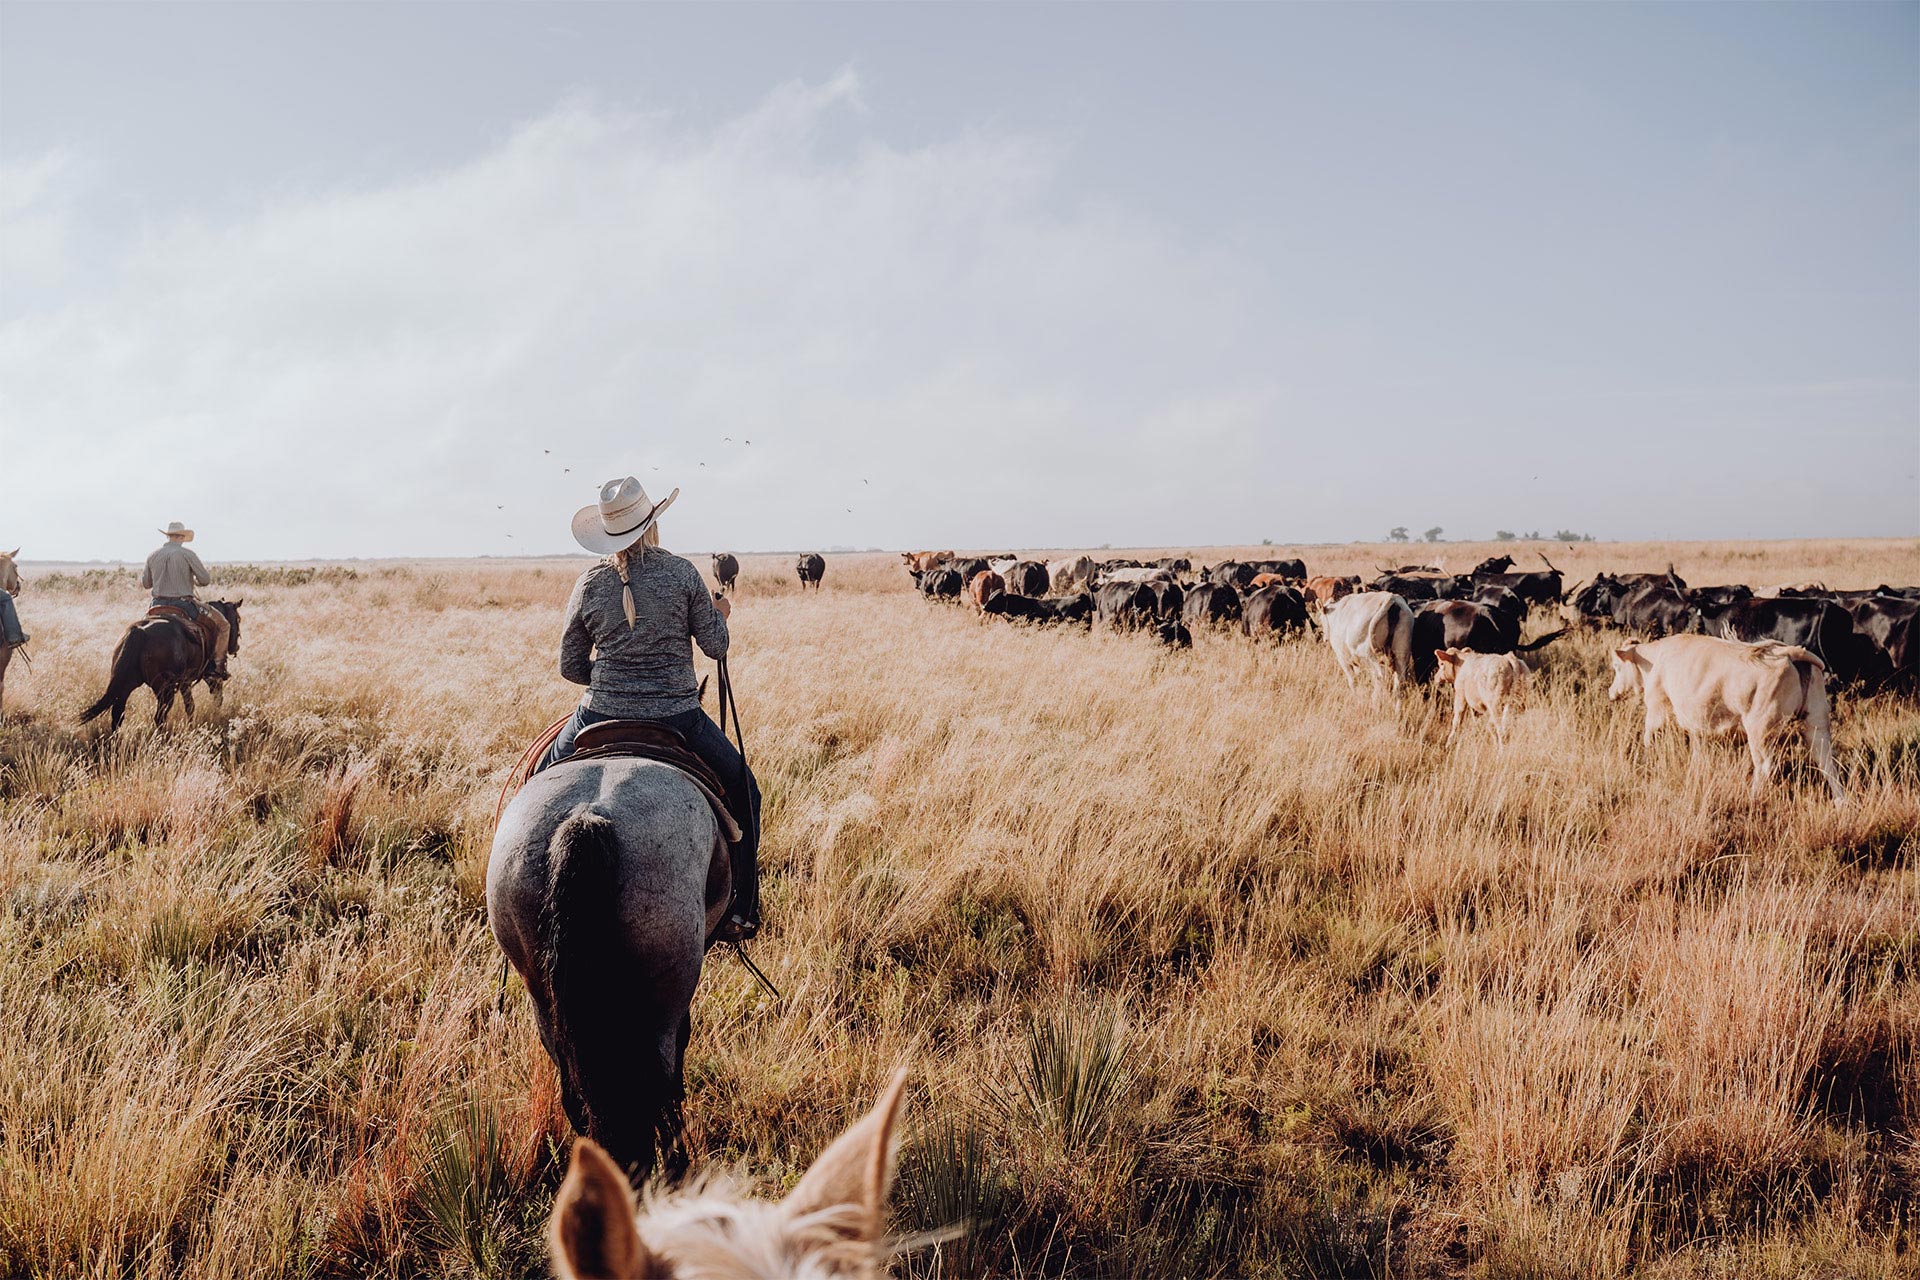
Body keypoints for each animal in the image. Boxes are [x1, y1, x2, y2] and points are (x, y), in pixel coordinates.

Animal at [79, 602, 243, 729]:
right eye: (238, 619)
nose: (236, 647)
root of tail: (139, 630)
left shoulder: (185, 682)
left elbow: (190, 705)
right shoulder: (203, 677)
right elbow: (209, 698)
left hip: (127, 684)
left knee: (117, 715)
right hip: (164, 689)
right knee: (160, 716)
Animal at [491, 756, 729, 1189]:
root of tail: (586, 818)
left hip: (543, 999)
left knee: (578, 1095)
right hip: (662, 1001)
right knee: (660, 1089)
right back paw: (677, 1173)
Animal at [1612, 637, 1850, 805]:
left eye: (1617, 666)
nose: (1611, 692)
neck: (1655, 660)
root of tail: (1787, 652)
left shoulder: (1657, 711)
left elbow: (1648, 739)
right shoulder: (1697, 724)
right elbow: (1698, 754)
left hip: (1760, 729)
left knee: (1765, 766)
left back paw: (1752, 799)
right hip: (1816, 723)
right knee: (1827, 763)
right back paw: (1840, 802)